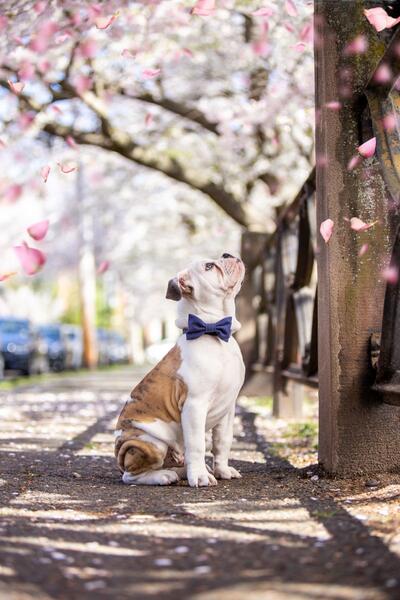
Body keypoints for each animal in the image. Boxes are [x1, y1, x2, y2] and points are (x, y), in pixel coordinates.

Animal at [114, 253, 245, 488]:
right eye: (209, 266)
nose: (227, 254)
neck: (213, 332)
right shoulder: (194, 406)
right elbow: (198, 444)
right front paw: (200, 477)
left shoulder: (228, 408)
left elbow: (222, 442)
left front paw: (222, 470)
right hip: (150, 443)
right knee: (131, 475)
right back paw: (164, 476)